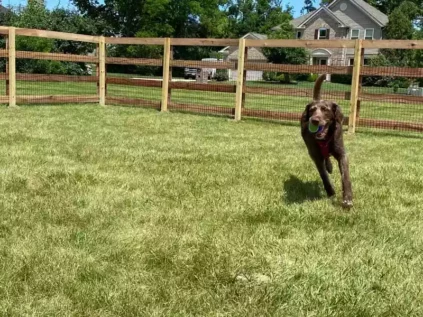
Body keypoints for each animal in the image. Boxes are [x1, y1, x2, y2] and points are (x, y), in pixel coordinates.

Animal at [302, 74, 354, 207]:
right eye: (312, 110)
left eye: (325, 109)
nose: (314, 120)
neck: (324, 139)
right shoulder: (315, 156)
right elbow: (323, 175)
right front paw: (330, 192)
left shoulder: (342, 153)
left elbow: (345, 176)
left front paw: (347, 199)